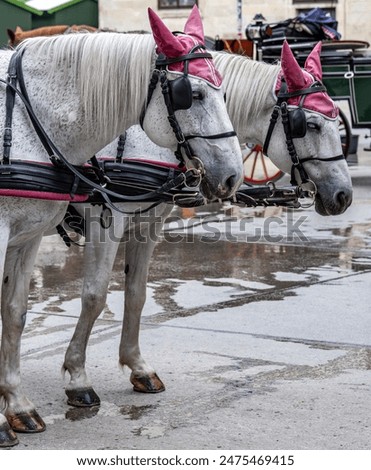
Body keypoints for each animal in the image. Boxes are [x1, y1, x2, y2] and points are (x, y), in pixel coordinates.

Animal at [0, 8, 244, 448]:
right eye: (193, 95)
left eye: (225, 94)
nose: (233, 176)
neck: (30, 118)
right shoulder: (102, 219)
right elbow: (95, 295)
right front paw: (74, 381)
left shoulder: (34, 234)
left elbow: (18, 311)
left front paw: (18, 404)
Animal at [61, 41, 354, 408]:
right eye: (310, 125)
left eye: (335, 122)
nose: (344, 195)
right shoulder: (105, 222)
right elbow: (94, 296)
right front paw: (77, 377)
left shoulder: (149, 225)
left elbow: (136, 293)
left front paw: (138, 366)